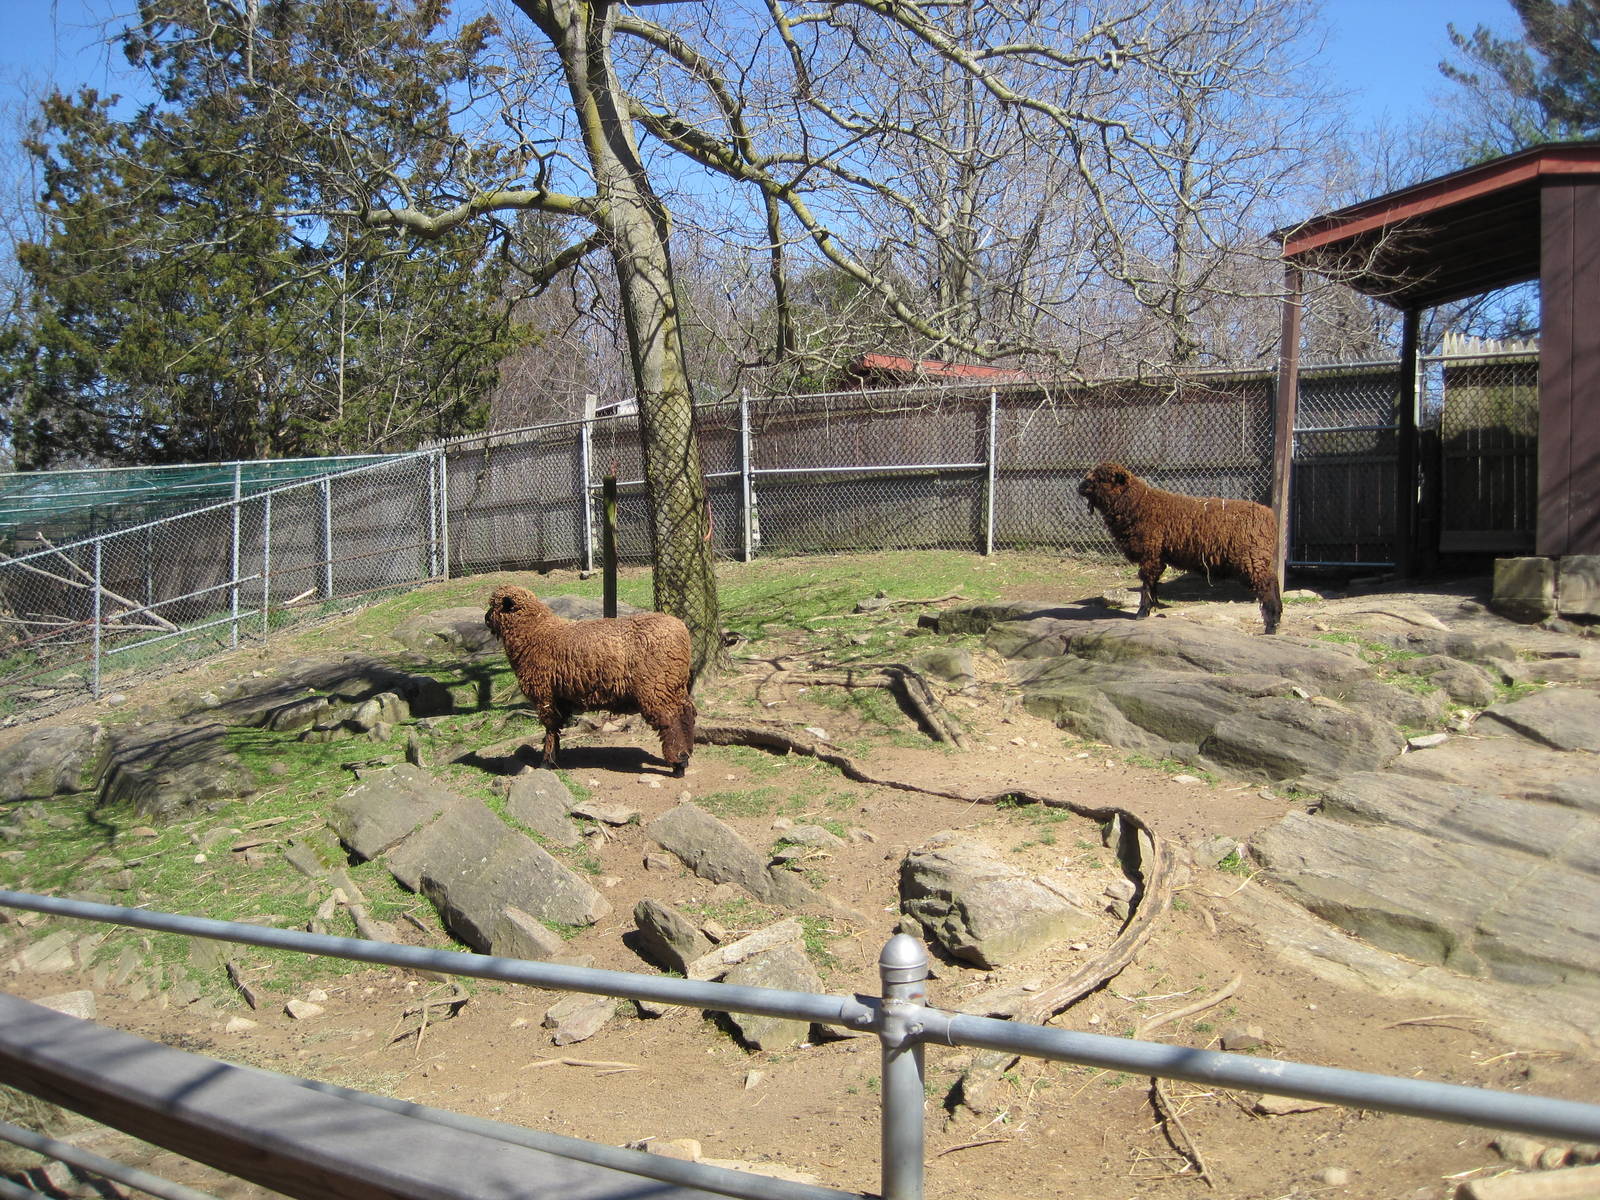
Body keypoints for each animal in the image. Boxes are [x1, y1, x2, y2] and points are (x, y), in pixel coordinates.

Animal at [484, 584, 698, 775]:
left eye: (495, 606)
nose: (485, 619)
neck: (536, 631)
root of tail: (682, 630)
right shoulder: (560, 698)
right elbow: (556, 728)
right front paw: (555, 758)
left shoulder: (545, 696)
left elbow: (550, 728)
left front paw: (546, 763)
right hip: (673, 685)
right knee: (686, 715)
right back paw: (686, 757)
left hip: (657, 687)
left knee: (672, 722)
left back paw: (678, 763)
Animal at [1077, 461, 1282, 634]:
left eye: (1102, 478)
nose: (1079, 487)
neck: (1139, 504)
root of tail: (1270, 517)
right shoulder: (1157, 555)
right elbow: (1152, 583)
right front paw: (1150, 608)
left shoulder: (1151, 552)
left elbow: (1147, 582)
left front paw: (1142, 612)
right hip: (1258, 557)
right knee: (1273, 580)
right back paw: (1276, 619)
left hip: (1252, 557)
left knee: (1267, 585)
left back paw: (1271, 625)